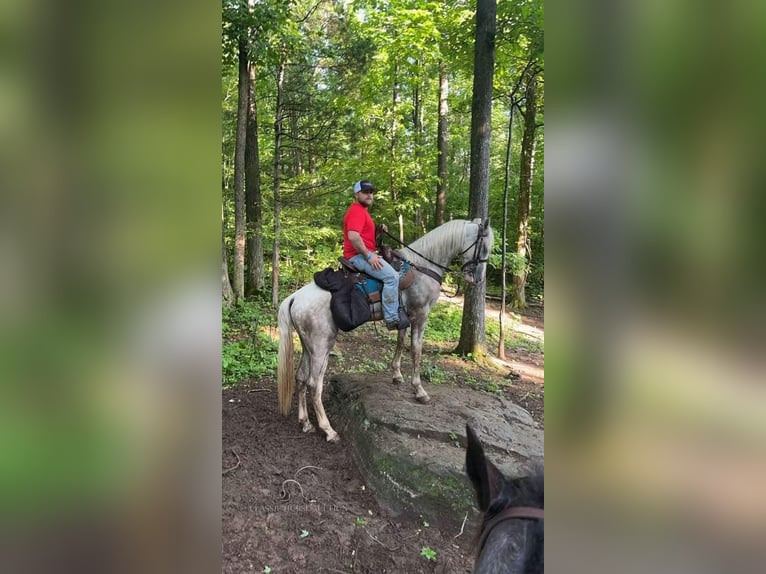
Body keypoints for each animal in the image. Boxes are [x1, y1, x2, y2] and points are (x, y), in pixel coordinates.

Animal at [280, 218, 496, 444]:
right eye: (484, 246)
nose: (479, 279)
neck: (423, 268)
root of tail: (294, 298)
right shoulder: (420, 316)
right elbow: (416, 350)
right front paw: (419, 390)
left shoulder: (404, 317)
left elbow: (400, 342)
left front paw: (397, 376)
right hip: (322, 346)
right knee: (314, 384)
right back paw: (328, 430)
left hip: (308, 346)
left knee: (300, 378)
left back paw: (305, 423)